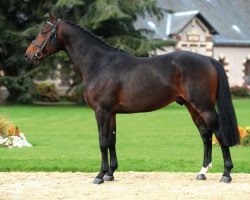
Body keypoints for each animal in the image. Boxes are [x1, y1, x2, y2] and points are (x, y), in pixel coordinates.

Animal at [25, 12, 240, 184]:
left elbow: (102, 142)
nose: (29, 55)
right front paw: (110, 173)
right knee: (205, 134)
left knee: (218, 133)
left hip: (204, 107)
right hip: (191, 107)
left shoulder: (101, 111)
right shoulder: (111, 113)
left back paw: (226, 174)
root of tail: (207, 59)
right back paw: (202, 172)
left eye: (44, 31)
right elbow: (112, 140)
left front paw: (99, 175)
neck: (99, 63)